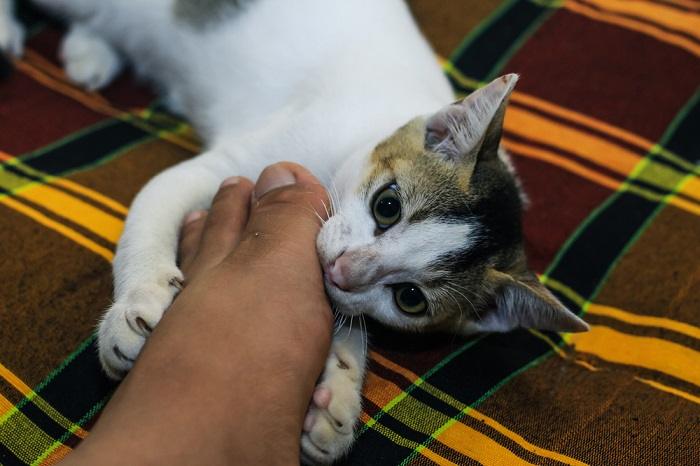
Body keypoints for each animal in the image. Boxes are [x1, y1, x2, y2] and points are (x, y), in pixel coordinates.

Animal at [2, 0, 588, 462]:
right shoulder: (231, 164)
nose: (347, 269)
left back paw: (90, 49)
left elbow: (344, 317)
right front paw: (137, 307)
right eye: (388, 206)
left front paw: (339, 393)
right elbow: (153, 208)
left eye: (410, 299)